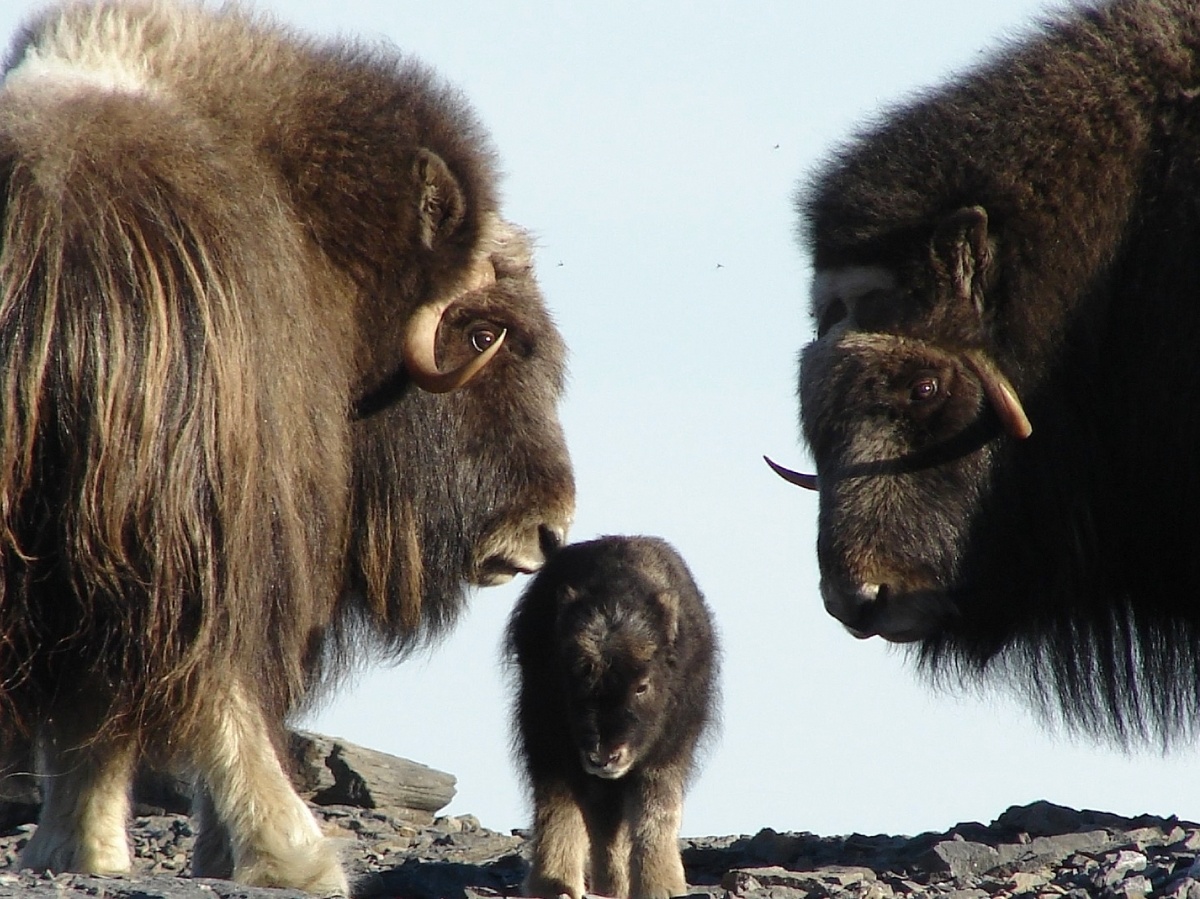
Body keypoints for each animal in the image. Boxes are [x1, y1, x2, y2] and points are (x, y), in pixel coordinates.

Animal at [501, 537, 715, 892]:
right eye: (571, 676)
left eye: (642, 686)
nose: (603, 757)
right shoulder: (553, 746)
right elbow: (569, 812)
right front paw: (561, 884)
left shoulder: (669, 750)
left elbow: (655, 810)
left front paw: (660, 886)